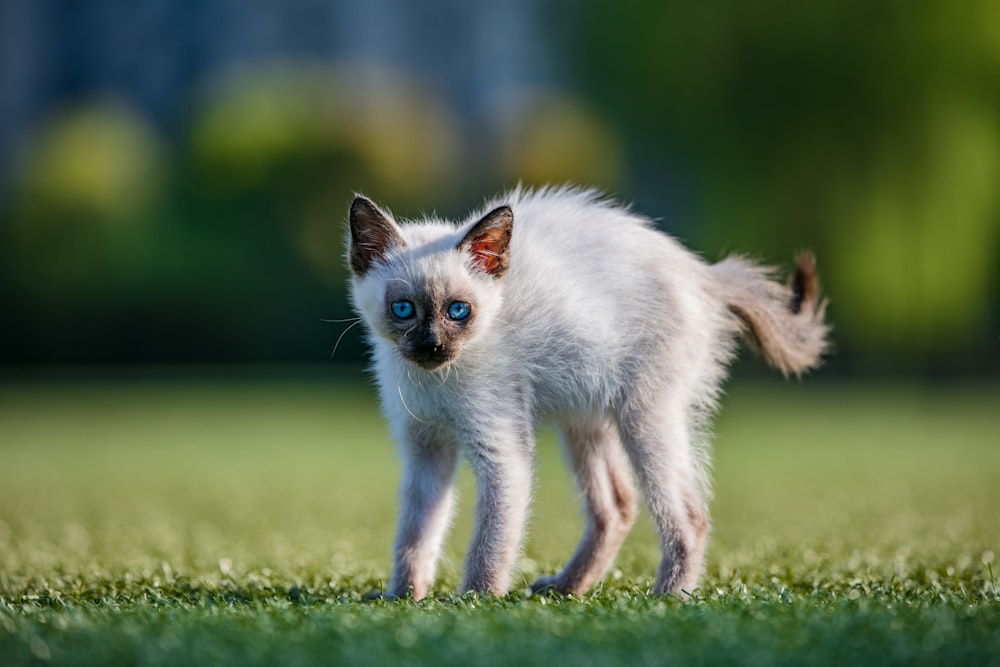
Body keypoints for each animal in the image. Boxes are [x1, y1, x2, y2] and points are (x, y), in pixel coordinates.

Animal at [348, 184, 832, 600]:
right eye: (403, 309)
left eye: (458, 311)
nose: (432, 346)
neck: (433, 381)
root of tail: (703, 273)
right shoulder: (424, 450)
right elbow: (415, 534)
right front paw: (403, 596)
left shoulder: (500, 447)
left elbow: (491, 538)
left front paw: (474, 600)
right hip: (585, 416)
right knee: (618, 506)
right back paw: (567, 588)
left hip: (643, 414)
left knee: (690, 515)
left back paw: (668, 597)